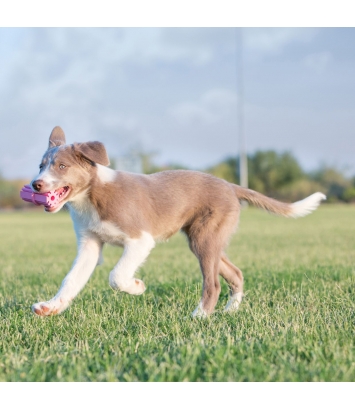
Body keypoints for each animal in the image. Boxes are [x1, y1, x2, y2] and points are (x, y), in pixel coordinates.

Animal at [30, 126, 328, 318]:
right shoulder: (89, 244)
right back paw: (229, 311)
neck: (92, 197)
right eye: (41, 166)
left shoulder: (140, 239)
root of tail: (231, 186)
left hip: (205, 238)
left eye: (62, 166)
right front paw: (51, 306)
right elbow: (71, 279)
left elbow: (117, 275)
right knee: (235, 273)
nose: (35, 184)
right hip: (206, 239)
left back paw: (200, 317)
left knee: (213, 283)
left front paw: (137, 287)